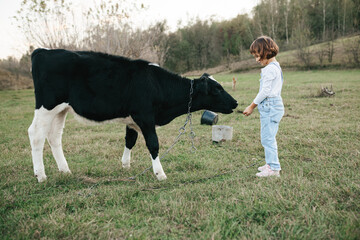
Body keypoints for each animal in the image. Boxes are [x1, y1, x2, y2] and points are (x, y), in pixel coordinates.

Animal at [27, 49, 236, 183]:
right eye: (217, 89)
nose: (235, 103)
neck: (156, 84)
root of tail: (42, 50)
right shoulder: (145, 116)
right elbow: (153, 144)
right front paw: (160, 174)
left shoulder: (132, 120)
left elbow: (130, 140)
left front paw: (126, 165)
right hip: (46, 107)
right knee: (36, 135)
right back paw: (41, 176)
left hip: (60, 110)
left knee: (54, 137)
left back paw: (65, 171)